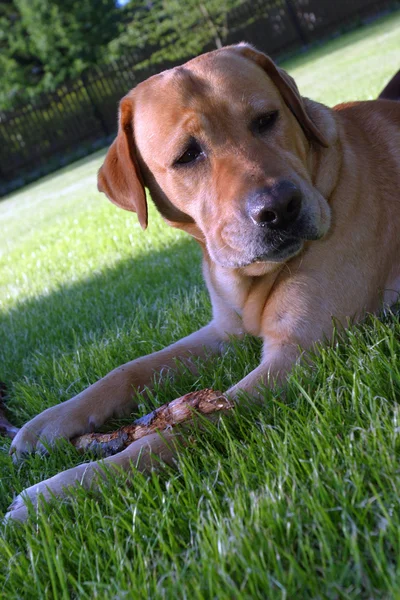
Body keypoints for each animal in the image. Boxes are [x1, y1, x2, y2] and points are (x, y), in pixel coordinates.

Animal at [6, 43, 400, 520]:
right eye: (187, 155)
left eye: (266, 119)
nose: (280, 208)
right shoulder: (223, 332)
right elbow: (129, 370)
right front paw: (48, 423)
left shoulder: (301, 353)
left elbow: (180, 430)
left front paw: (64, 491)